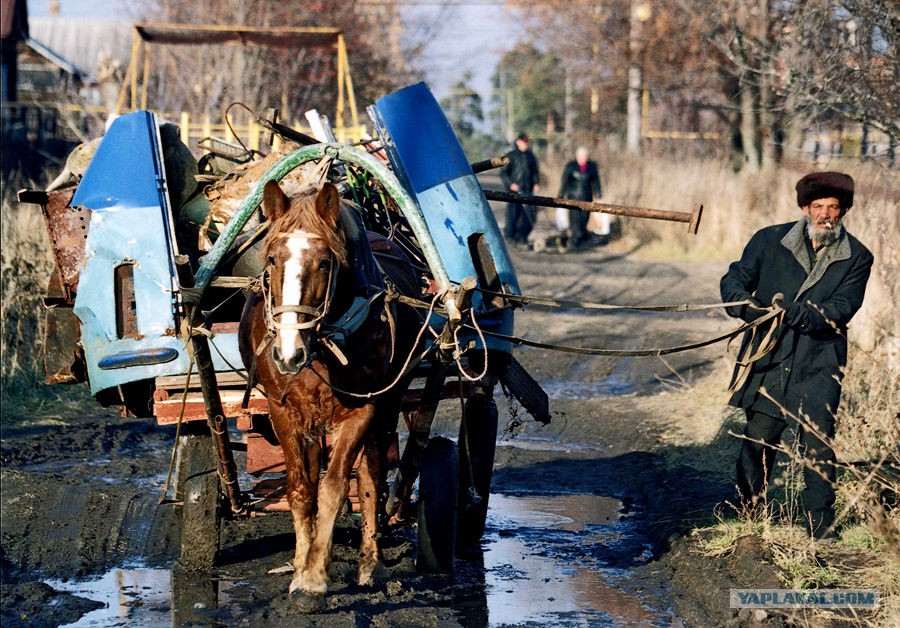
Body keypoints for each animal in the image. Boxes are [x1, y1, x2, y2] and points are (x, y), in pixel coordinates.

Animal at [239, 179, 422, 612]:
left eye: (324, 262)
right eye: (271, 260)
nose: (287, 354)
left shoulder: (362, 411)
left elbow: (336, 487)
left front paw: (314, 578)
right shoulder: (284, 412)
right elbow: (301, 490)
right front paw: (300, 567)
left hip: (388, 406)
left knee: (372, 478)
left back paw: (371, 564)